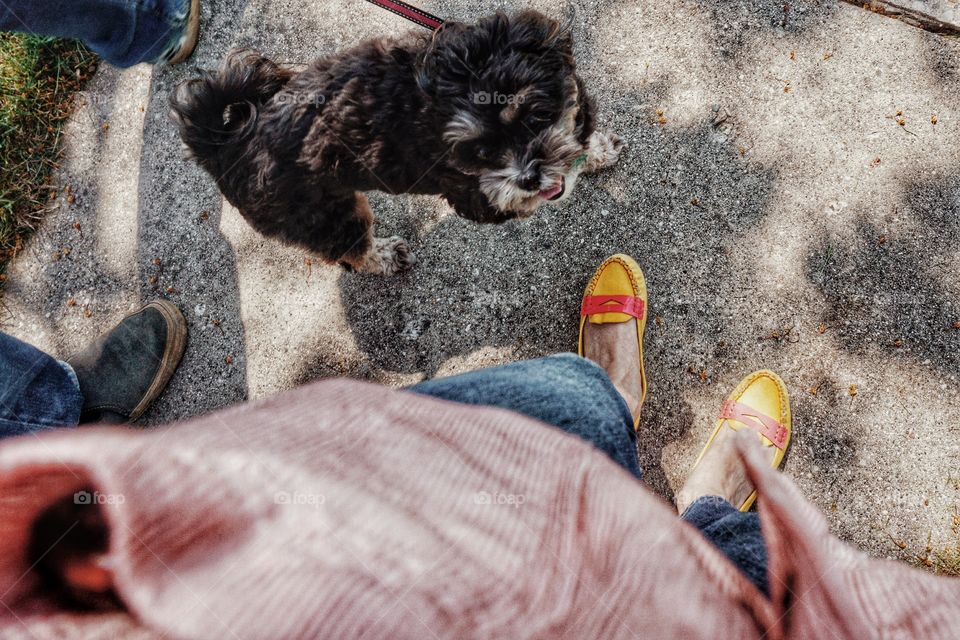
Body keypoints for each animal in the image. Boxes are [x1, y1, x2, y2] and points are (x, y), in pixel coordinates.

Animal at [171, 10, 624, 276]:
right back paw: (383, 256)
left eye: (534, 115)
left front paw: (593, 150)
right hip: (326, 213)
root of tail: (225, 146)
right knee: (351, 250)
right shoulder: (473, 195)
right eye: (481, 152)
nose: (529, 177)